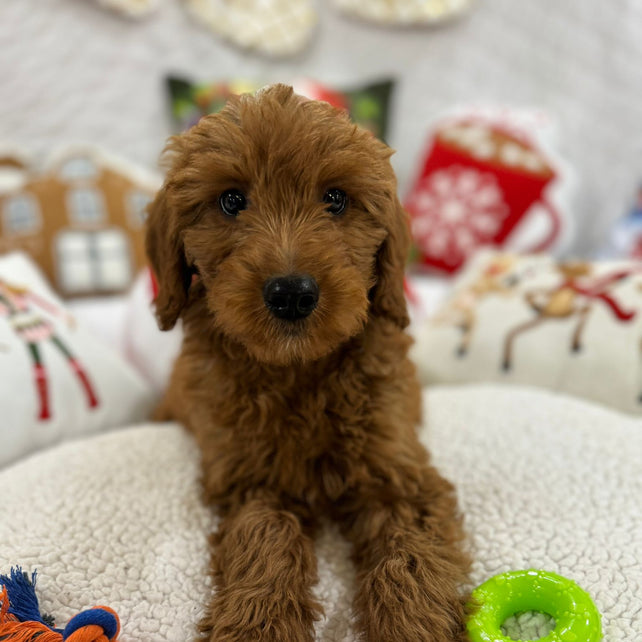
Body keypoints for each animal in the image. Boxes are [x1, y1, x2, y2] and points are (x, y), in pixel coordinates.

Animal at [148, 85, 468, 640]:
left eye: (335, 199)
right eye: (231, 200)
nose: (292, 294)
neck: (298, 371)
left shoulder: (399, 471)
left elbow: (410, 556)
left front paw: (413, 624)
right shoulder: (249, 479)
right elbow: (265, 536)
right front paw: (257, 624)